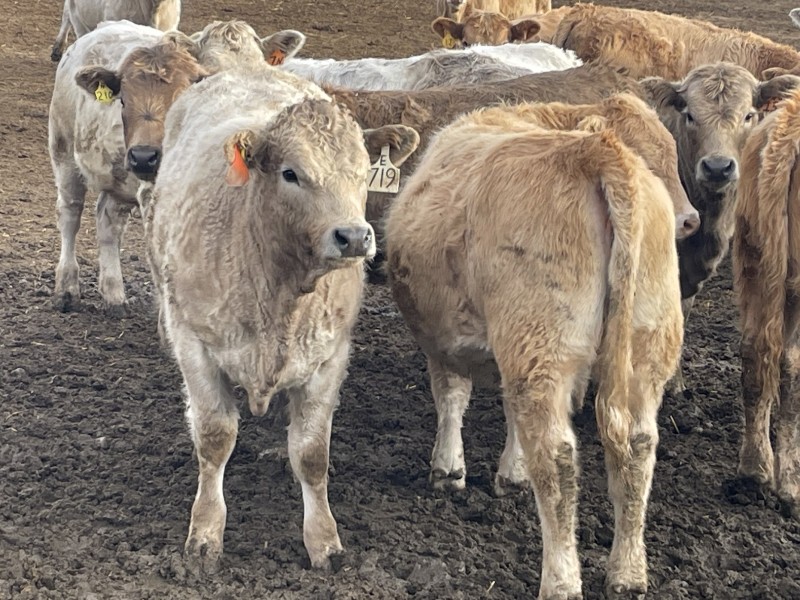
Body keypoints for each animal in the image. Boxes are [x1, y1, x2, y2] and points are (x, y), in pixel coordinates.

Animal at [49, 20, 306, 315]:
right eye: (210, 76)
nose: (144, 156)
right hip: (64, 150)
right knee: (70, 214)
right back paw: (67, 287)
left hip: (120, 176)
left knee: (108, 220)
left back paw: (113, 294)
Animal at [147, 65, 419, 573]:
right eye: (291, 173)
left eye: (362, 173)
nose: (355, 237)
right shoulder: (193, 342)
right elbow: (214, 436)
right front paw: (205, 532)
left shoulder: (331, 356)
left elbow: (311, 453)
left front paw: (324, 540)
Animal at [385, 109, 682, 600]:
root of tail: (594, 149)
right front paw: (511, 473)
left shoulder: (446, 344)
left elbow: (451, 398)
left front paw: (448, 469)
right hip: (646, 346)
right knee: (639, 445)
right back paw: (627, 571)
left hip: (542, 344)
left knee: (557, 459)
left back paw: (560, 581)